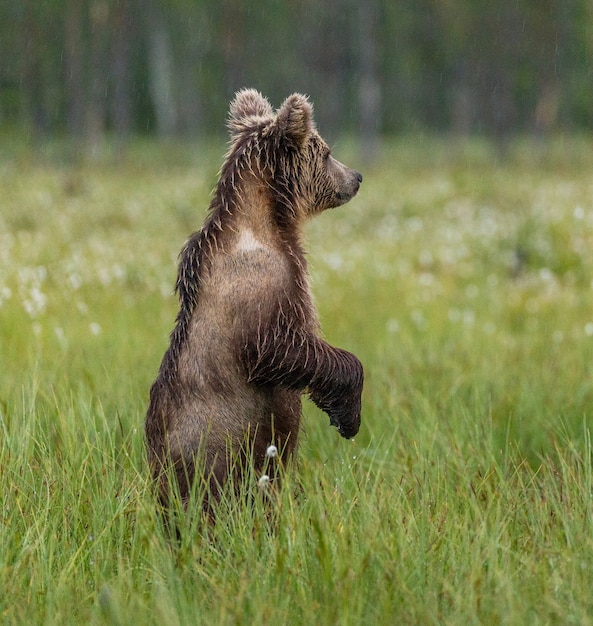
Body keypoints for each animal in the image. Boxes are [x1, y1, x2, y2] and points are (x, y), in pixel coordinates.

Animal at [146, 88, 364, 508]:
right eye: (326, 151)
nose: (357, 177)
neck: (271, 223)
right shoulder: (259, 288)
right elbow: (278, 346)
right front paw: (347, 415)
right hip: (205, 455)